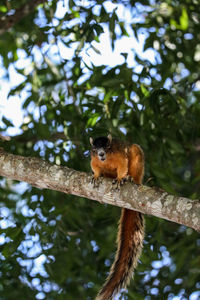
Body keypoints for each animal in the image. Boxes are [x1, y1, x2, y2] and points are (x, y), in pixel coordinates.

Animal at [90, 134, 145, 300]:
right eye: (94, 149)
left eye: (107, 146)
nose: (101, 154)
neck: (106, 160)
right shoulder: (94, 160)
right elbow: (94, 167)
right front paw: (96, 176)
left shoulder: (120, 156)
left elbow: (122, 166)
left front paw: (121, 178)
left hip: (136, 158)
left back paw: (130, 179)